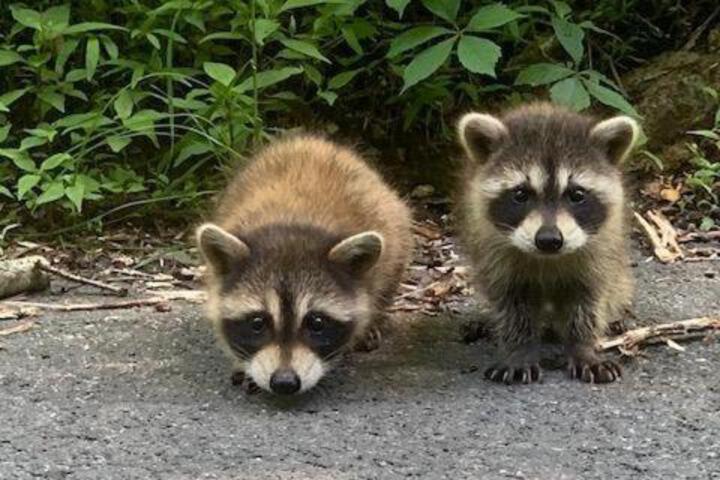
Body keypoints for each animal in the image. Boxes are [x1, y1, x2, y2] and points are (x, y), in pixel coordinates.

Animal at [196, 134, 413, 395]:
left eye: (317, 323)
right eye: (257, 323)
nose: (284, 383)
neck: (291, 225)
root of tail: (311, 141)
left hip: (395, 228)